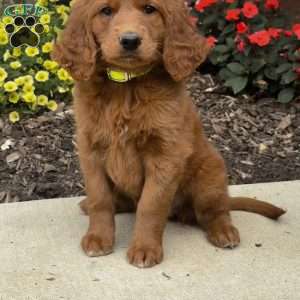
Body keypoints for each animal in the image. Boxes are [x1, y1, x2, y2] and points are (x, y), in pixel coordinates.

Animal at [52, 0, 286, 268]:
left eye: (149, 10)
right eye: (106, 11)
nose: (130, 40)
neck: (126, 86)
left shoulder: (166, 154)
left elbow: (150, 205)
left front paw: (145, 249)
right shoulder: (90, 148)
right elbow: (100, 198)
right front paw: (98, 238)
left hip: (211, 174)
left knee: (214, 210)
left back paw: (224, 232)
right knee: (123, 201)